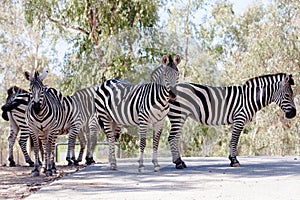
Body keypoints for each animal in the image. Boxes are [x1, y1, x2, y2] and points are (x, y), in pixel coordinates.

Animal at [151, 69, 296, 168]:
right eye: (287, 95)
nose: (293, 114)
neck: (249, 98)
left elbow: (233, 140)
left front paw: (232, 160)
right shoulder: (239, 118)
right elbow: (234, 140)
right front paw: (234, 161)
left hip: (179, 117)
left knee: (174, 138)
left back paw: (180, 161)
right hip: (178, 115)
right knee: (172, 138)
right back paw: (178, 163)